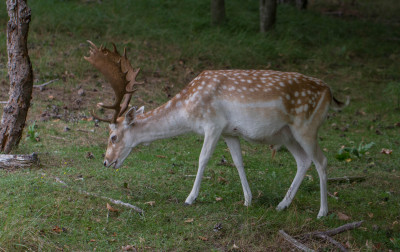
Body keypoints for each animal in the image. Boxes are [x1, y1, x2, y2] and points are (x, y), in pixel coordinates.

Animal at [85, 40, 346, 217]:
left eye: (113, 136)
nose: (105, 161)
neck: (188, 110)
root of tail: (330, 93)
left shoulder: (213, 123)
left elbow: (203, 158)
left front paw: (190, 198)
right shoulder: (230, 131)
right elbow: (238, 161)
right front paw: (248, 200)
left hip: (307, 126)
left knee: (321, 160)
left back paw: (322, 212)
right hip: (287, 134)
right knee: (303, 161)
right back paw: (282, 204)